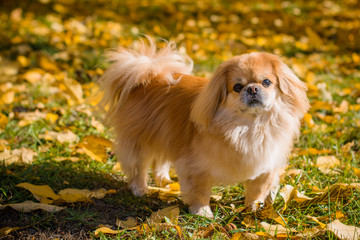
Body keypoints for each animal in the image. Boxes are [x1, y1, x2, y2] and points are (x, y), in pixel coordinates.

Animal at [99, 37, 310, 218]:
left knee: (161, 161)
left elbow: (256, 192)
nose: (252, 88)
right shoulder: (196, 167)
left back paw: (164, 181)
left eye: (266, 82)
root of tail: (152, 77)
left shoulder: (266, 167)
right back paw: (140, 189)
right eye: (237, 87)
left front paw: (252, 211)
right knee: (138, 167)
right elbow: (200, 192)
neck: (249, 126)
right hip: (140, 141)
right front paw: (202, 212)